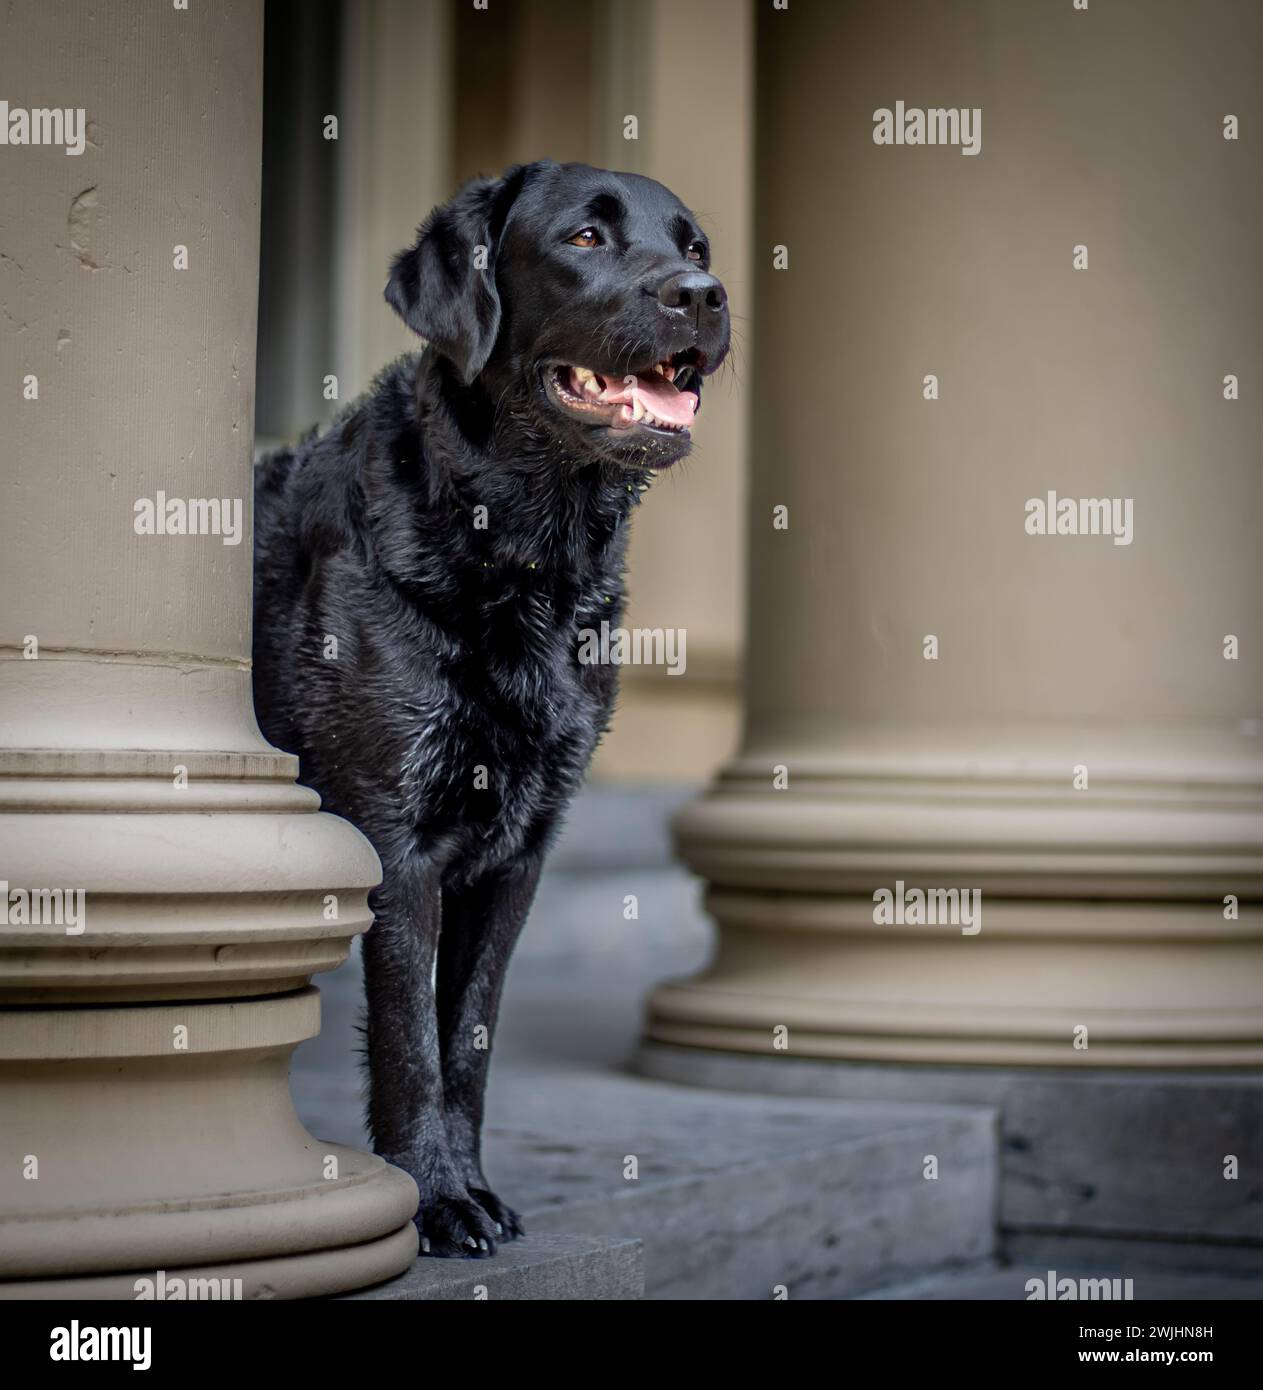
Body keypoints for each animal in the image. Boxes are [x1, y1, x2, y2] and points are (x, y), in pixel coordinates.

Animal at [250, 162, 728, 1262]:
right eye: (587, 236)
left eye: (695, 247)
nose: (702, 296)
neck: (523, 554)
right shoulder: (396, 839)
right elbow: (411, 1044)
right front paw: (432, 1200)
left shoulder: (519, 851)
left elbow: (468, 1037)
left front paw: (467, 1183)